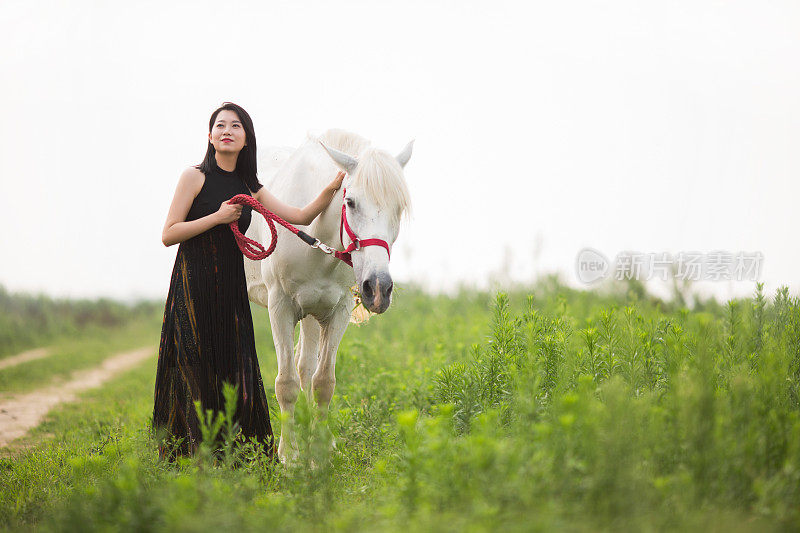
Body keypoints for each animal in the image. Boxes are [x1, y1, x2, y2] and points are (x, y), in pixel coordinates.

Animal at [244, 129, 412, 462]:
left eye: (399, 208)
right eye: (350, 201)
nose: (378, 288)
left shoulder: (338, 310)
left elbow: (323, 382)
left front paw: (320, 452)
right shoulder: (279, 307)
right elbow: (285, 382)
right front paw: (290, 456)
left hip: (311, 312)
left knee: (306, 367)